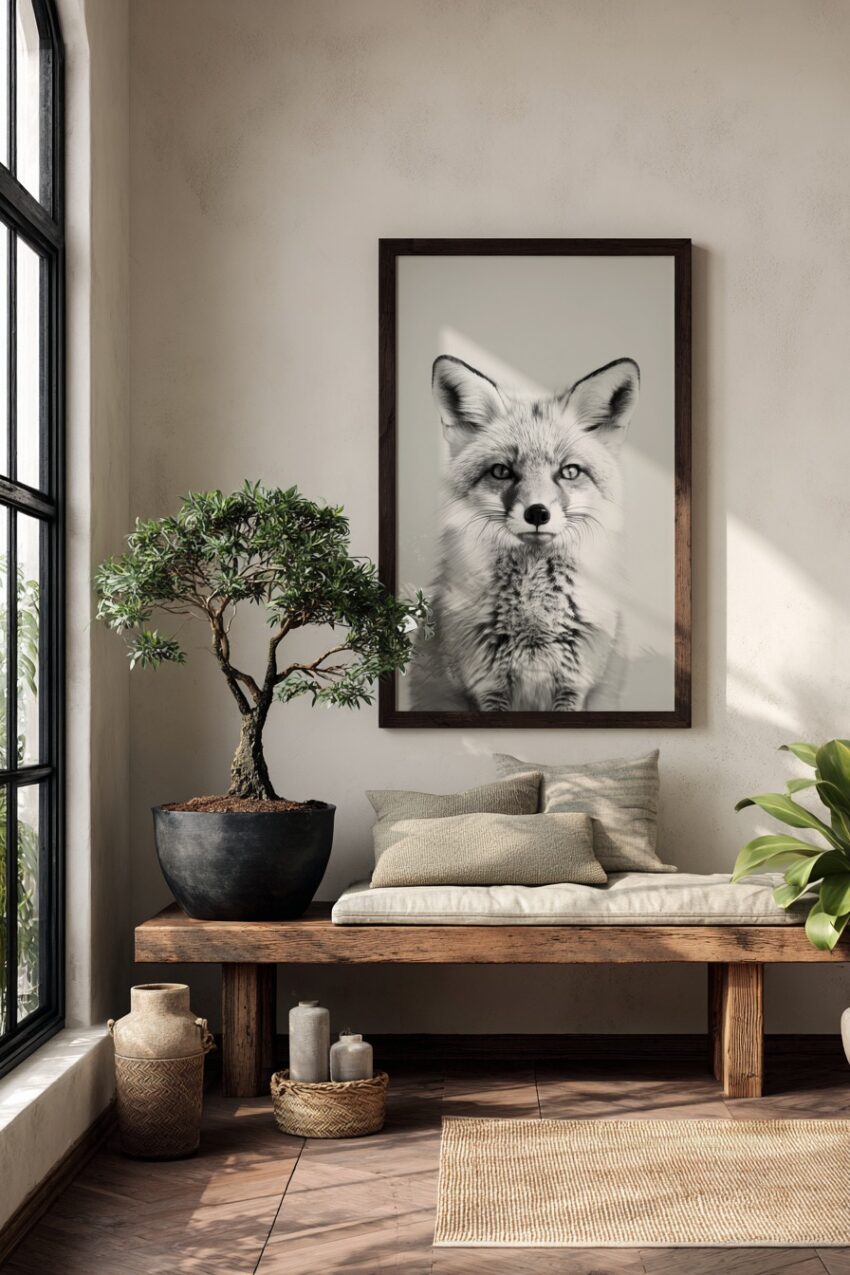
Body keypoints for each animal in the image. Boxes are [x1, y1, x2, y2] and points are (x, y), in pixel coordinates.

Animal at [408, 354, 640, 712]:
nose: (537, 513)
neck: (534, 620)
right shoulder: (486, 686)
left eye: (569, 471)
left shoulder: (575, 685)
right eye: (501, 471)